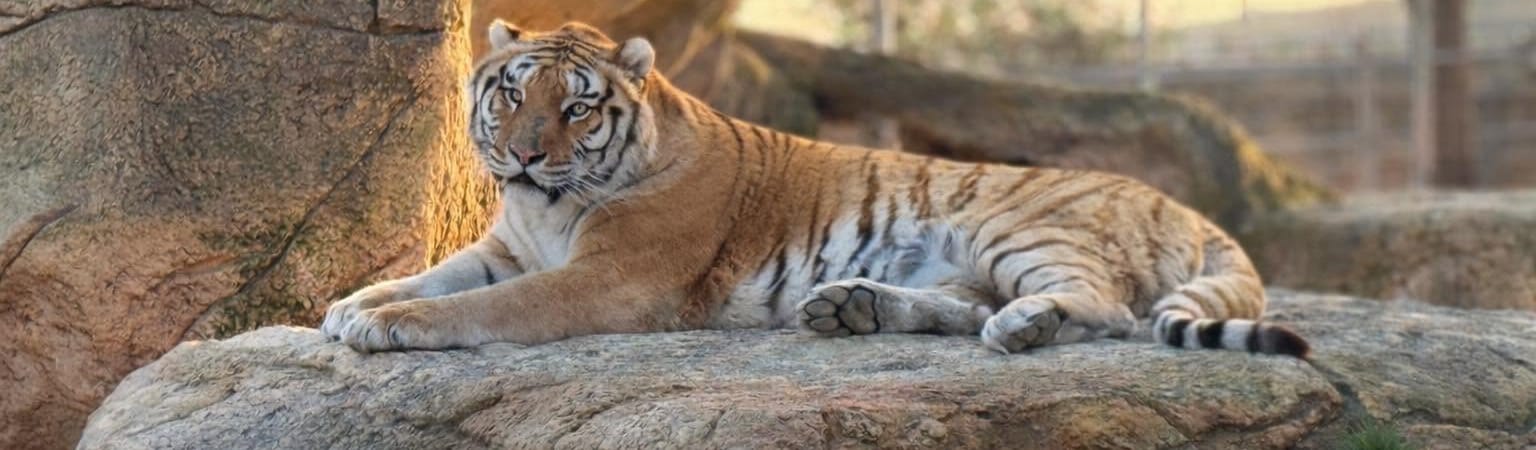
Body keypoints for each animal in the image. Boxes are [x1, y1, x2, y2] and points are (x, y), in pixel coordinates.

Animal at [318, 20, 1310, 358]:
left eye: (577, 107)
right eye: (513, 93)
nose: (523, 155)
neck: (544, 204)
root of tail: (1183, 205)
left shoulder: (613, 276)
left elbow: (483, 307)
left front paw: (387, 325)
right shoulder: (503, 248)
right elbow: (437, 277)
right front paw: (350, 304)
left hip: (1018, 229)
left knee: (1108, 311)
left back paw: (1022, 329)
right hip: (968, 260)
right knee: (964, 306)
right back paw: (852, 307)